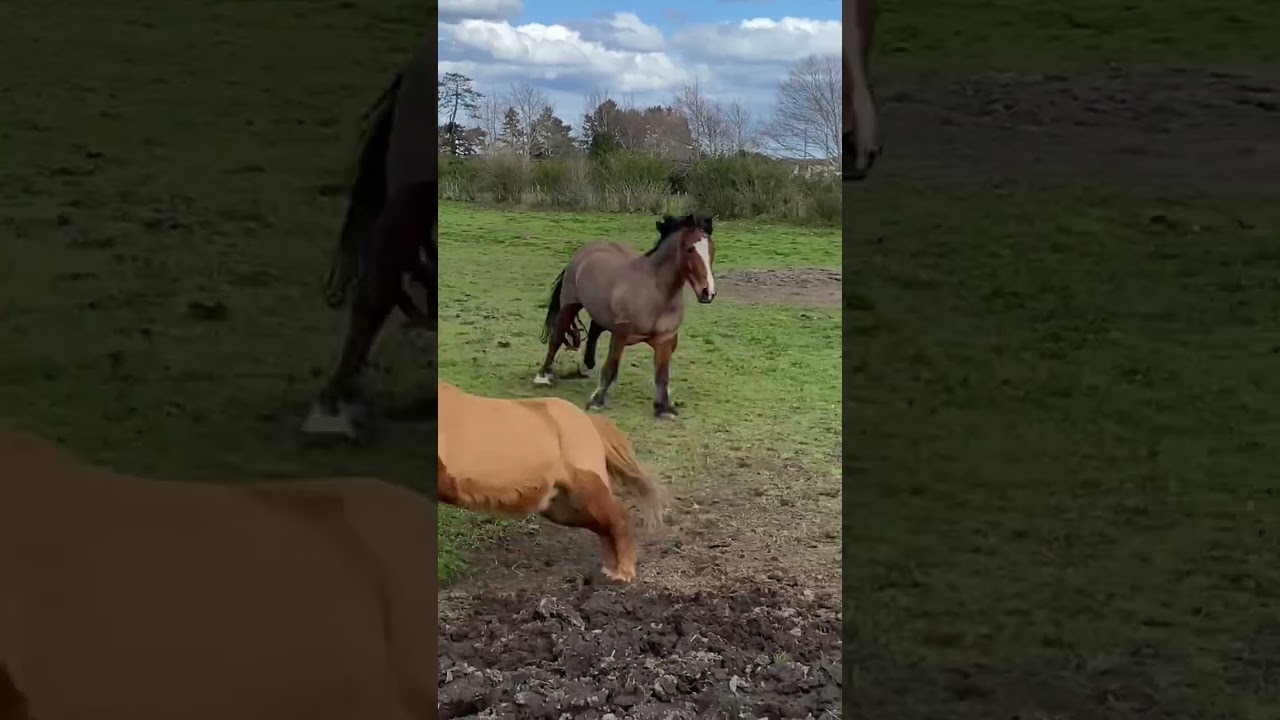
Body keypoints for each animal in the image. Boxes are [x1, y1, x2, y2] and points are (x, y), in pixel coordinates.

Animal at [437, 382, 666, 583]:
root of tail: (587, 420)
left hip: (587, 489)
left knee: (618, 519)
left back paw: (624, 572)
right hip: (563, 507)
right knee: (604, 526)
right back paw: (610, 569)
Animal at [535, 214, 716, 419]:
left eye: (712, 249)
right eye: (690, 249)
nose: (708, 292)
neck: (655, 292)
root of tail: (583, 252)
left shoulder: (665, 339)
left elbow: (662, 376)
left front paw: (663, 408)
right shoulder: (620, 333)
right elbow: (611, 367)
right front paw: (597, 401)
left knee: (594, 329)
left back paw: (587, 364)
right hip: (569, 305)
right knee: (557, 338)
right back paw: (543, 375)